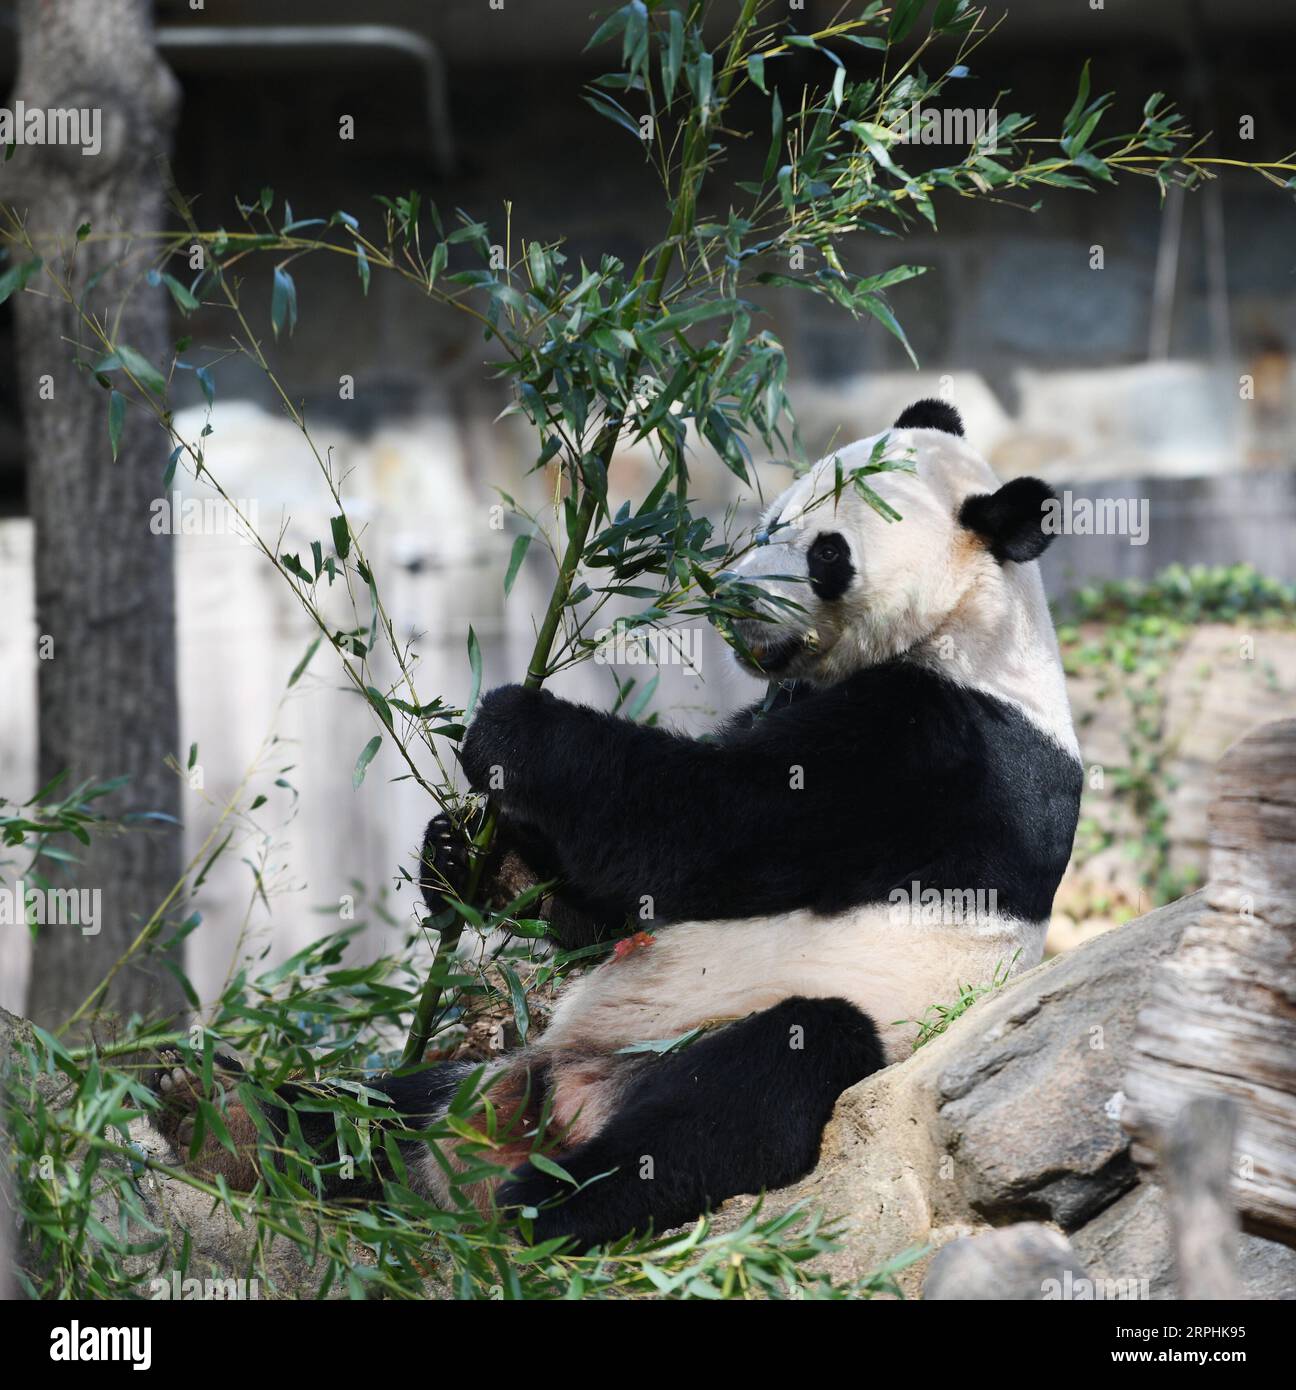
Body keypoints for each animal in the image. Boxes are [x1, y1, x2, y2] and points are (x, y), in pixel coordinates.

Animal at [151, 403, 1084, 1251]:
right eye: (774, 519)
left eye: (828, 554)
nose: (734, 597)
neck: (974, 621)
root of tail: (541, 1120)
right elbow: (616, 907)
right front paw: (467, 858)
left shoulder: (941, 751)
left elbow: (705, 826)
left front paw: (512, 728)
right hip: (482, 1075)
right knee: (372, 1109)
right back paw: (229, 1121)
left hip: (761, 1038)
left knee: (757, 1082)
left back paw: (543, 1204)